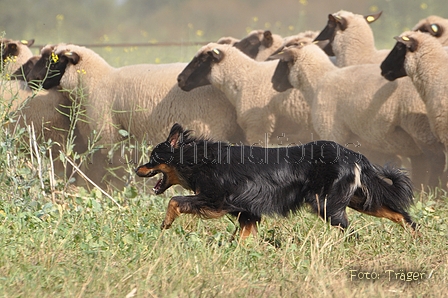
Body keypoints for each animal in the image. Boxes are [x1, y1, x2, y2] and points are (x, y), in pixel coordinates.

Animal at [136, 124, 416, 240]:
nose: (138, 169)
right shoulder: (247, 212)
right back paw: (416, 237)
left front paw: (165, 224)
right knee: (401, 215)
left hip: (327, 205)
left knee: (351, 231)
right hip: (357, 199)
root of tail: (353, 155)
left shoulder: (215, 200)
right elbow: (242, 237)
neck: (199, 158)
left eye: (152, 158)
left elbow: (175, 200)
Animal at [270, 42, 444, 186]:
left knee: (436, 163)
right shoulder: (369, 145)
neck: (318, 81)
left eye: (282, 61)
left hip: (421, 130)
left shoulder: (333, 131)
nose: (273, 83)